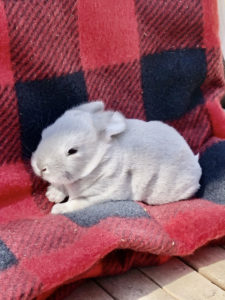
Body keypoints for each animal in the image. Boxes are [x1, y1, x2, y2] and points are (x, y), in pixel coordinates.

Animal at [30, 102, 201, 214]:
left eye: (72, 151)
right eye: (44, 134)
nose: (40, 167)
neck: (96, 163)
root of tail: (195, 162)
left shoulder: (100, 195)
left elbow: (76, 203)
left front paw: (57, 209)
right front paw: (52, 194)